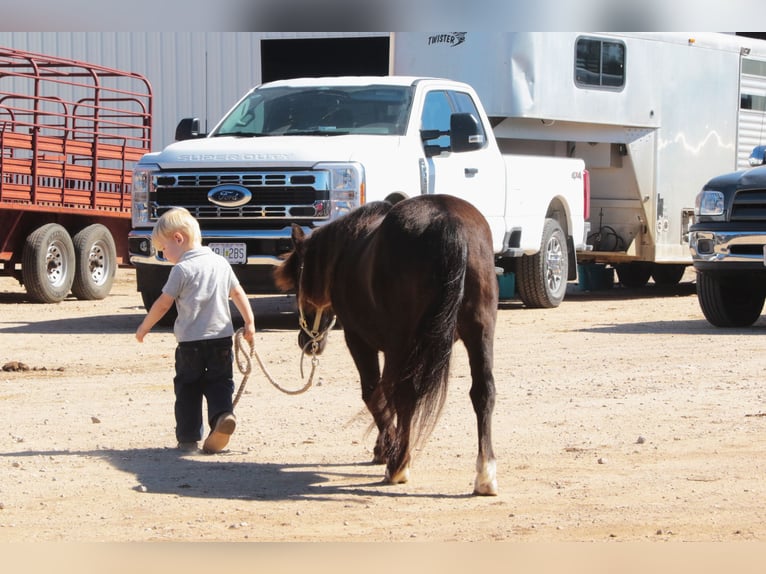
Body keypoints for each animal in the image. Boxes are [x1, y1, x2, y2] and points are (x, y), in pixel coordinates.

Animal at [274, 194, 499, 495]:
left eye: (297, 283)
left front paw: (386, 448)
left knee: (406, 395)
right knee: (483, 392)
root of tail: (449, 220)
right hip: (480, 333)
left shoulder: (360, 340)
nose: (306, 341)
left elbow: (374, 394)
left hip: (405, 343)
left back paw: (398, 465)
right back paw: (485, 475)